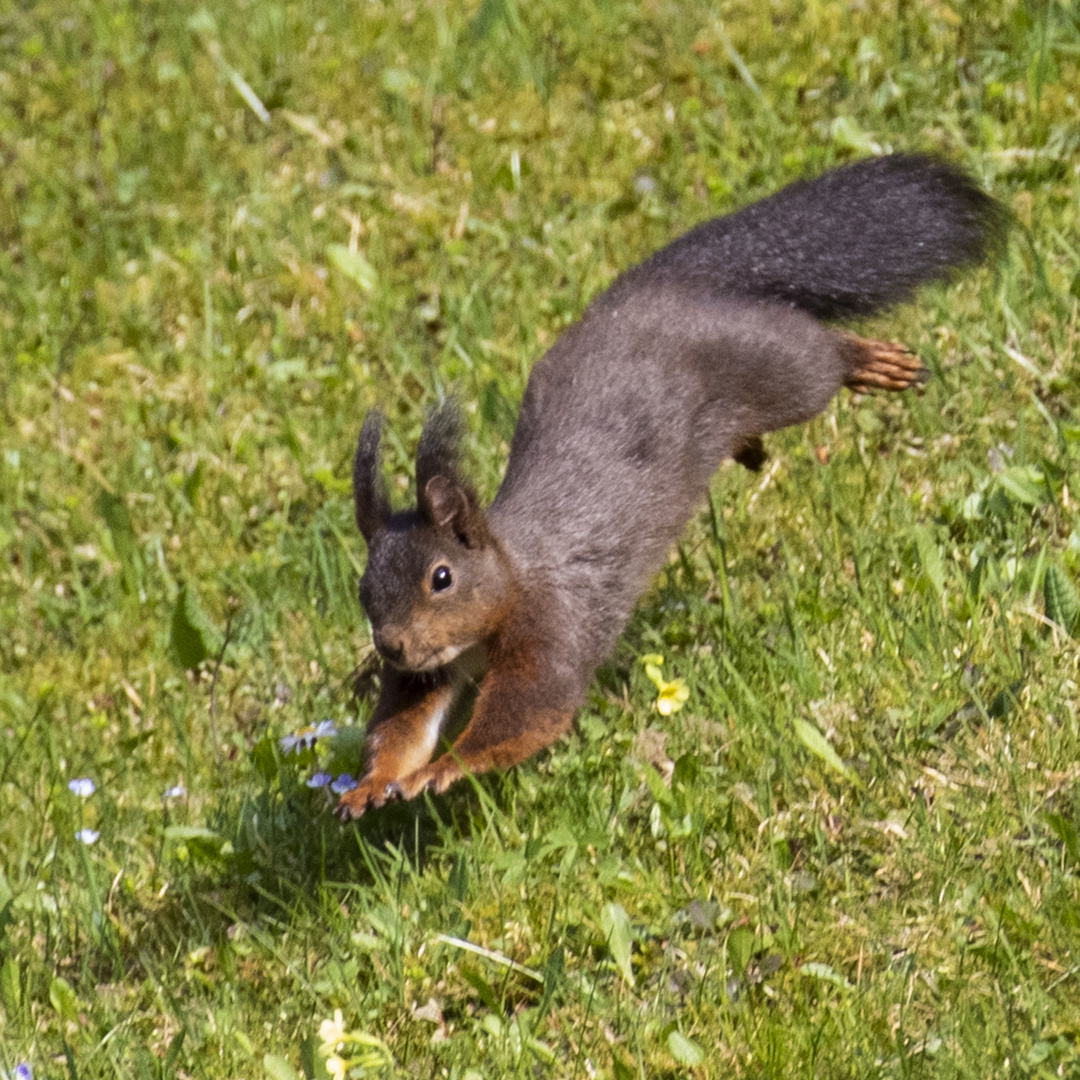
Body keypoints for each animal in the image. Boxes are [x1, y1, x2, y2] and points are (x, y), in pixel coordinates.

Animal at [332, 147, 997, 812]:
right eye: (364, 589)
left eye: (441, 577)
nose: (390, 644)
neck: (509, 583)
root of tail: (665, 286)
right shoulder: (426, 673)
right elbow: (402, 727)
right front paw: (371, 784)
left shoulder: (554, 624)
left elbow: (528, 713)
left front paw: (445, 768)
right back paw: (751, 447)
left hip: (778, 369)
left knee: (815, 350)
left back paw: (865, 360)